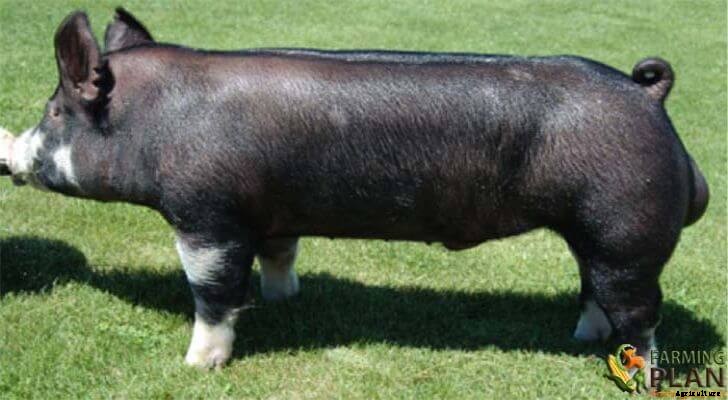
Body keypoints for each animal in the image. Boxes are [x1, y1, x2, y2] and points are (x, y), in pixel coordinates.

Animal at [4, 8, 709, 370]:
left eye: (55, 111)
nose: (10, 154)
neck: (154, 121)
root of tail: (647, 95)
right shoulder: (270, 213)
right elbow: (280, 255)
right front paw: (284, 300)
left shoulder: (207, 215)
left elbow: (212, 292)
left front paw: (196, 367)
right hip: (597, 234)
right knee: (594, 290)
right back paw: (582, 340)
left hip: (627, 230)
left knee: (644, 313)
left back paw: (636, 370)